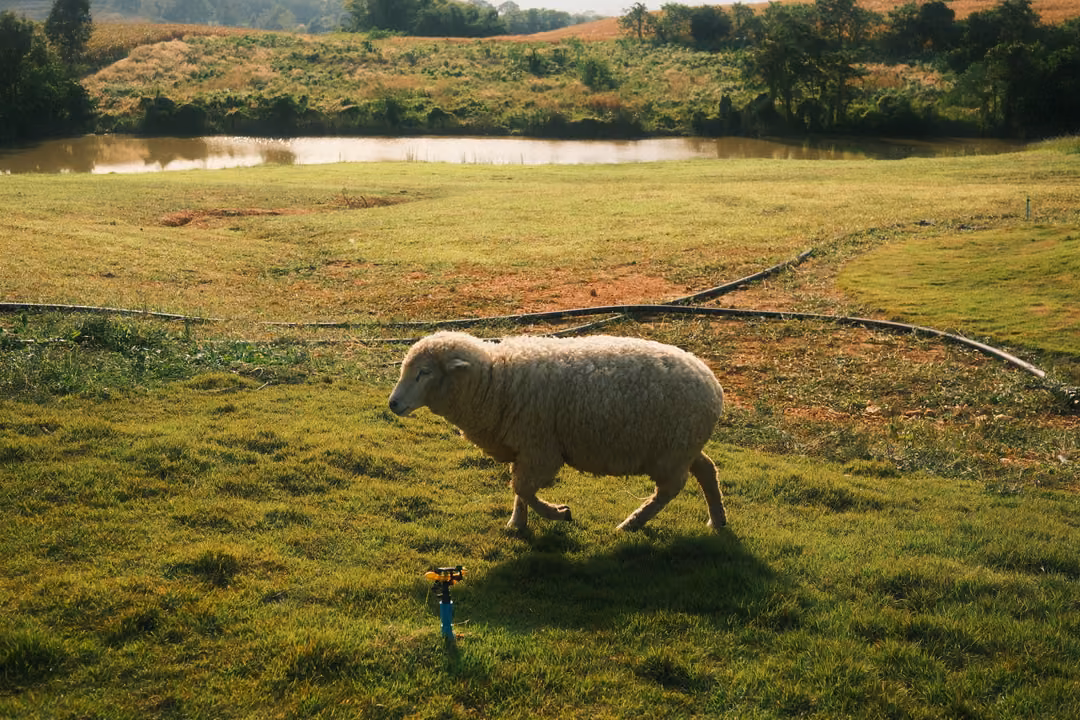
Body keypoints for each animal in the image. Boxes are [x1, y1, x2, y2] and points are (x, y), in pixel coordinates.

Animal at [388, 331, 727, 532]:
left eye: (424, 373)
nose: (393, 404)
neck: (495, 381)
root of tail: (712, 384)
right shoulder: (524, 448)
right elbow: (519, 489)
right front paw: (517, 524)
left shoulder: (542, 450)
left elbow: (524, 488)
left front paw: (559, 513)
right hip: (681, 449)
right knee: (707, 470)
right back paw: (717, 520)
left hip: (671, 452)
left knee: (670, 490)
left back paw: (631, 523)